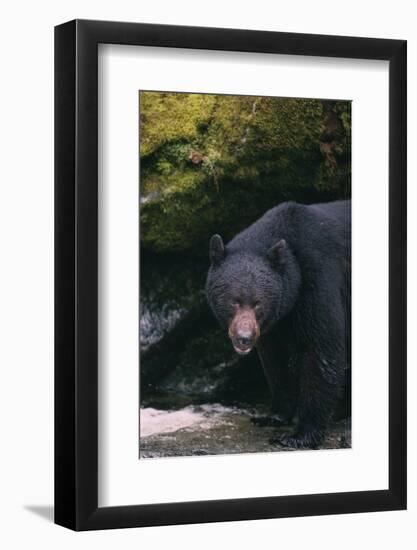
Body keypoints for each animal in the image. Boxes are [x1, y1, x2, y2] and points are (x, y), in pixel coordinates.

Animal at [206, 201, 350, 450]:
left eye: (258, 303)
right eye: (234, 301)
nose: (244, 337)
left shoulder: (319, 278)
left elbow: (322, 348)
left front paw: (299, 435)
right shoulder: (277, 321)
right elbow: (274, 359)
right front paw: (273, 416)